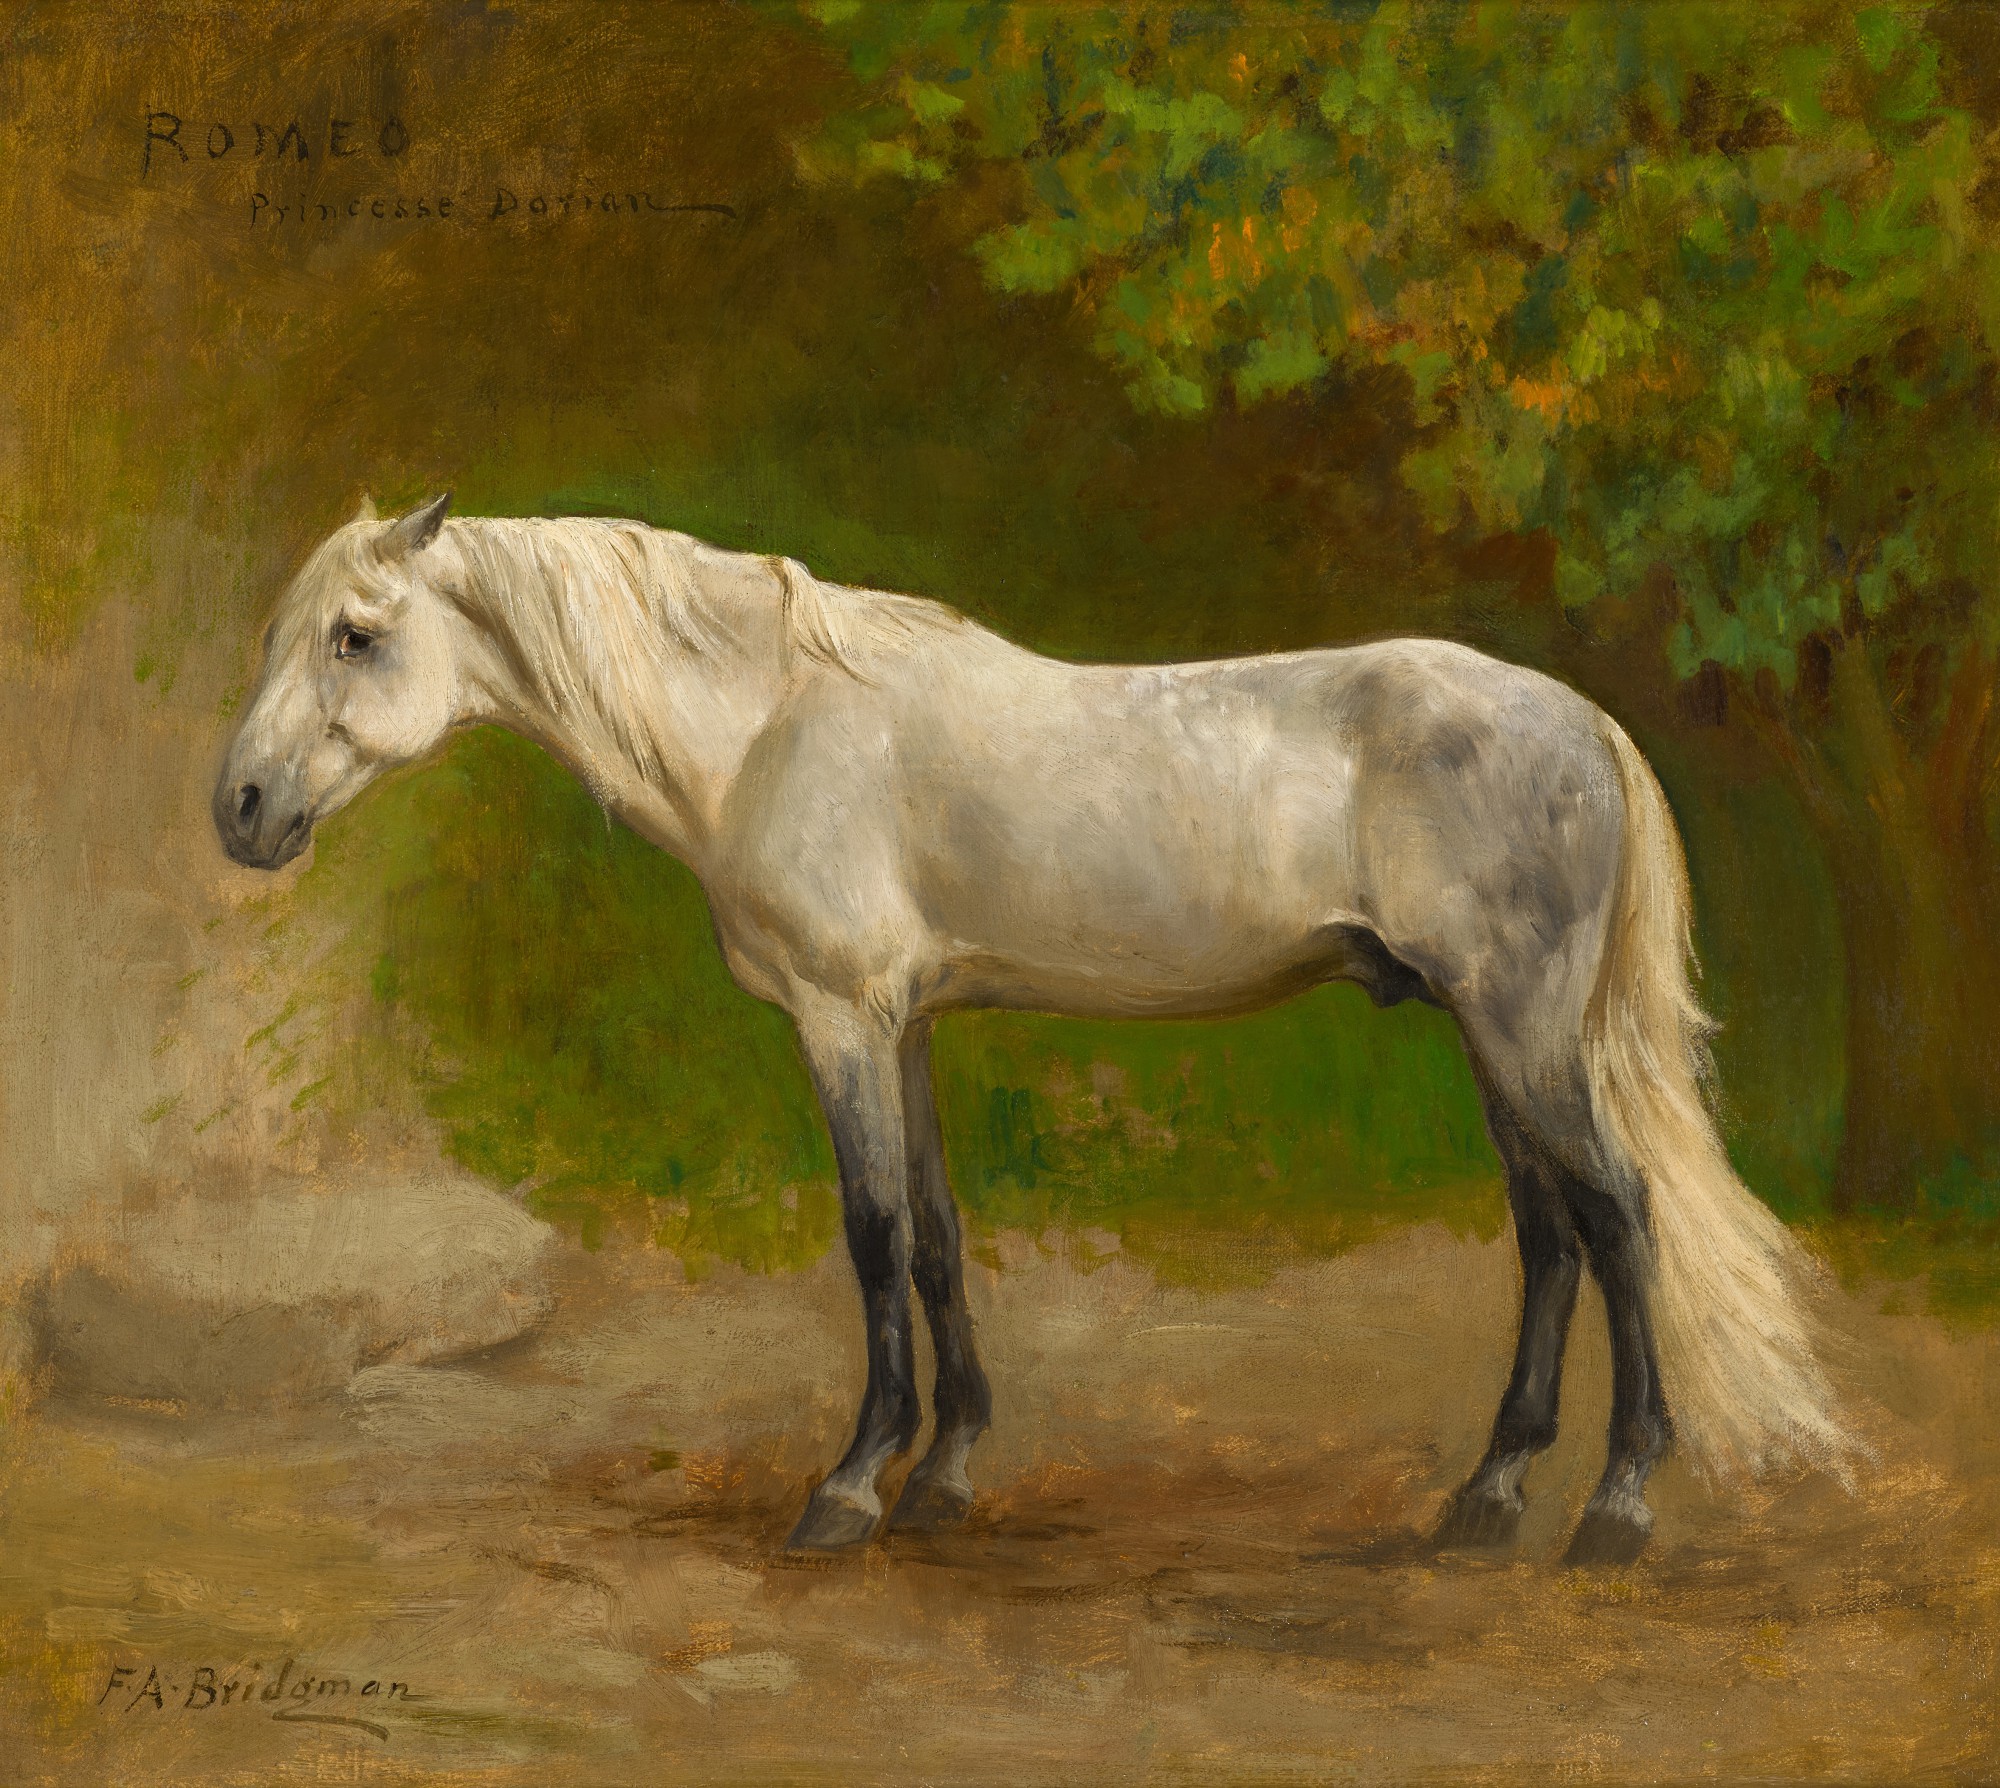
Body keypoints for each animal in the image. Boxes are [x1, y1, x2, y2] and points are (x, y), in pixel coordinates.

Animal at [213, 495, 1851, 1561]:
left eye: (355, 636)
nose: (240, 809)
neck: (767, 724)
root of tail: (1583, 724)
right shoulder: (906, 1023)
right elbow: (939, 1234)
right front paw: (946, 1475)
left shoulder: (841, 1019)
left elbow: (872, 1234)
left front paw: (850, 1490)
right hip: (1491, 1031)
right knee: (1550, 1231)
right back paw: (1484, 1501)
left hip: (1518, 1026)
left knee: (1616, 1217)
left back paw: (1615, 1510)